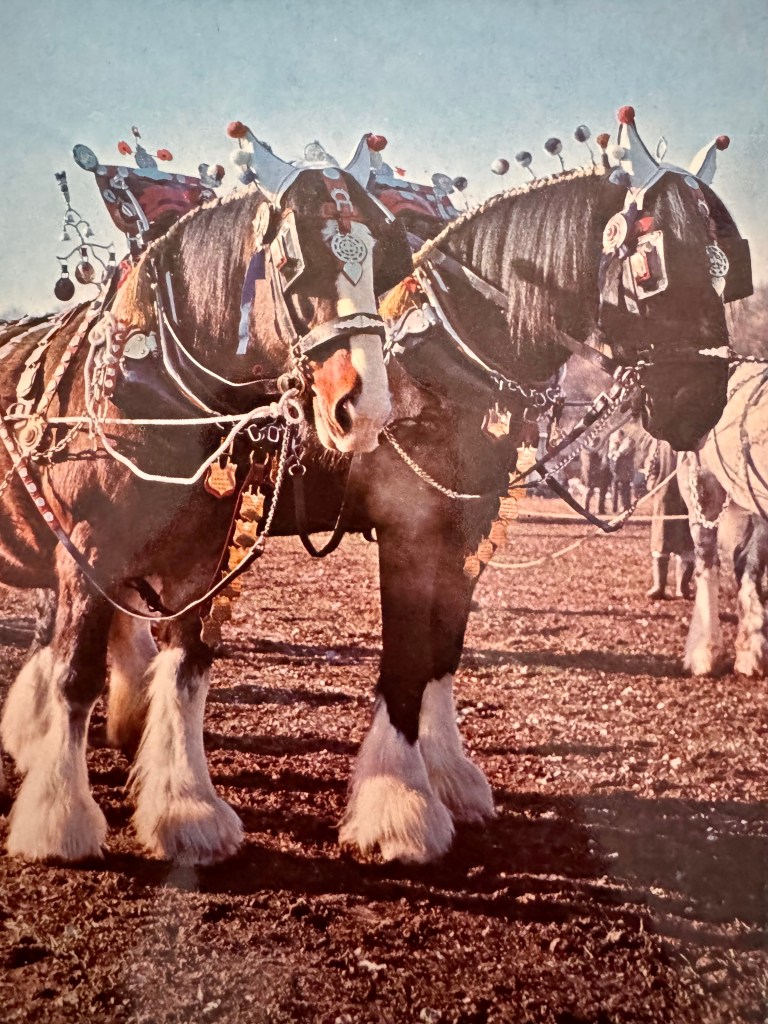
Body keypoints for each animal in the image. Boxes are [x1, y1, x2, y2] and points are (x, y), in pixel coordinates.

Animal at [0, 113, 744, 867]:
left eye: (724, 270)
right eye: (655, 269)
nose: (701, 404)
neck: (449, 357)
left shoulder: (465, 526)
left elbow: (442, 650)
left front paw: (447, 775)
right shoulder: (409, 527)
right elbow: (406, 657)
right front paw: (402, 809)